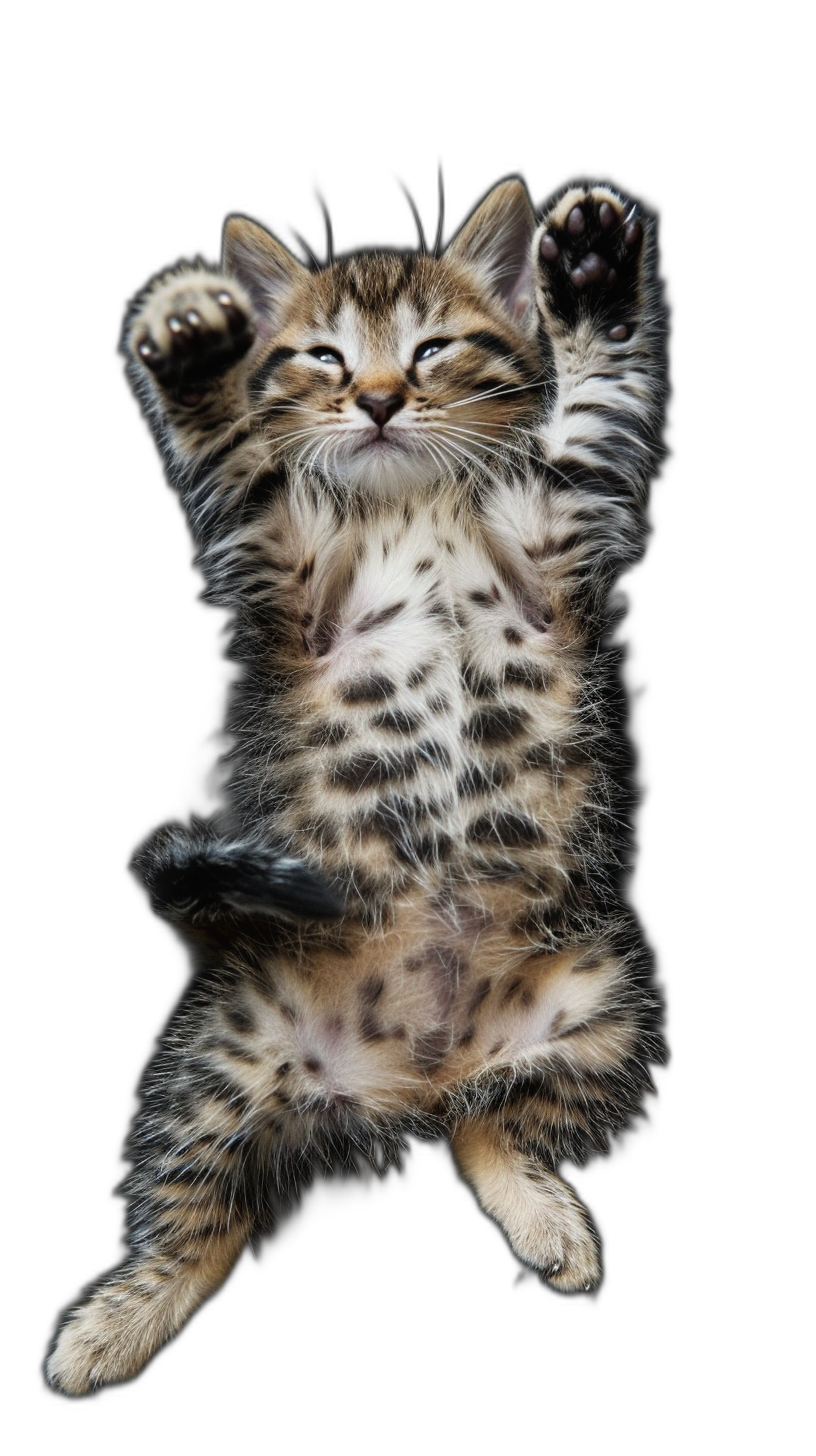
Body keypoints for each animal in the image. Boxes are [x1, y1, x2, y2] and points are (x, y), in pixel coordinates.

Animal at [47, 176, 667, 1391]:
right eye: (322, 357)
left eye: (432, 349)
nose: (379, 400)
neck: (408, 500)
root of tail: (405, 1081)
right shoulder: (281, 563)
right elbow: (241, 461)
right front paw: (191, 351)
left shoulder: (557, 530)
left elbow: (590, 415)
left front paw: (590, 280)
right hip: (227, 1056)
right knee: (209, 1217)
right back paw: (113, 1326)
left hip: (601, 1007)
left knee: (487, 1126)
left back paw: (544, 1217)